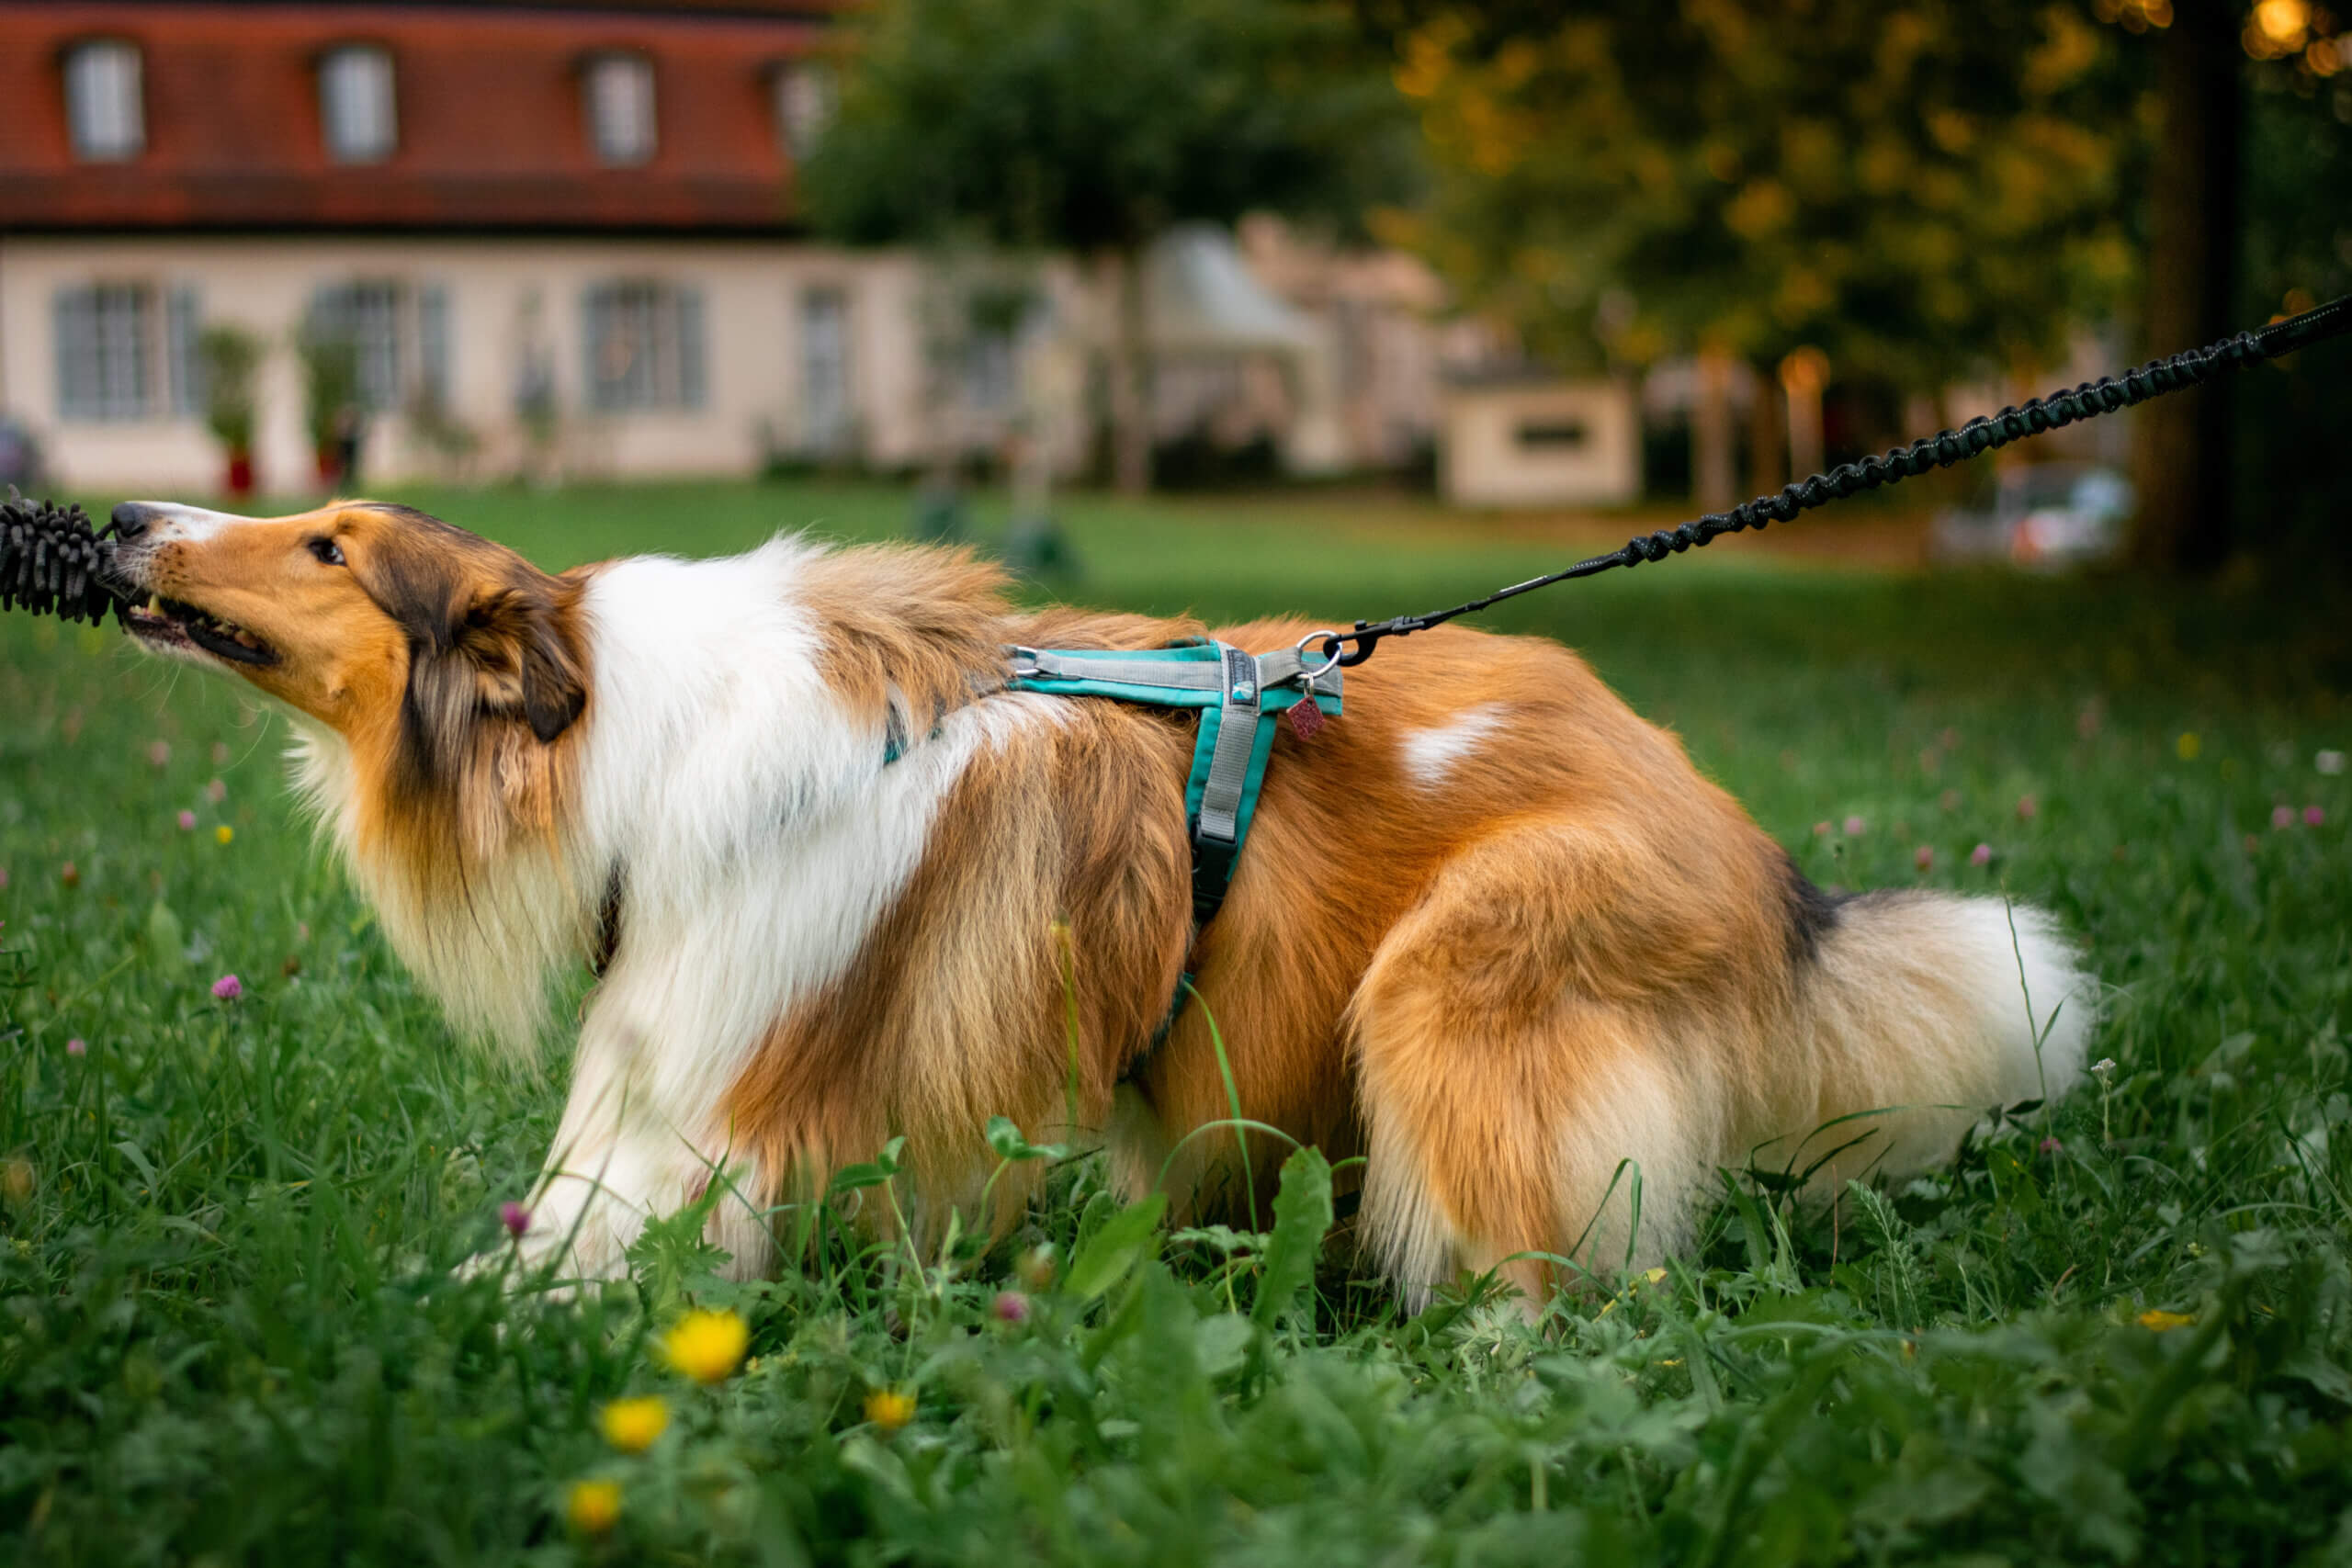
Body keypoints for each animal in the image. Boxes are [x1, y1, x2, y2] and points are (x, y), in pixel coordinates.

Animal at [110, 501, 2098, 1297]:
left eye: (327, 542)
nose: (128, 520)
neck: (606, 722)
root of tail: (1764, 864)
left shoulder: (719, 1094)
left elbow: (607, 1248)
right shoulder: (650, 1055)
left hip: (1461, 993)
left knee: (1536, 1266)